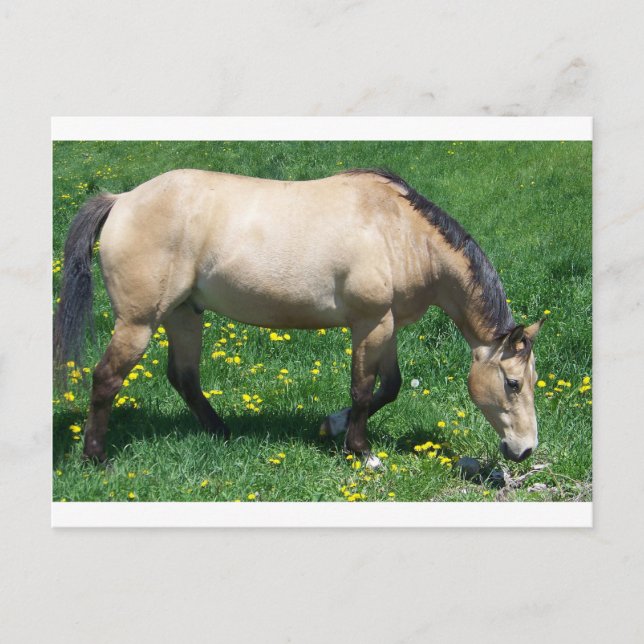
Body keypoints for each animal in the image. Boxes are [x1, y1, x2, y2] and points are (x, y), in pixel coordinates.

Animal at [53, 168, 544, 467]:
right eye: (512, 383)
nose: (525, 450)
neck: (400, 232)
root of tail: (122, 200)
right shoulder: (370, 324)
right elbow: (363, 389)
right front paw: (361, 451)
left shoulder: (387, 327)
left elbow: (390, 386)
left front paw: (334, 425)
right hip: (138, 323)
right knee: (107, 379)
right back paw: (96, 457)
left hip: (183, 315)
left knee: (184, 378)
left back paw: (221, 431)